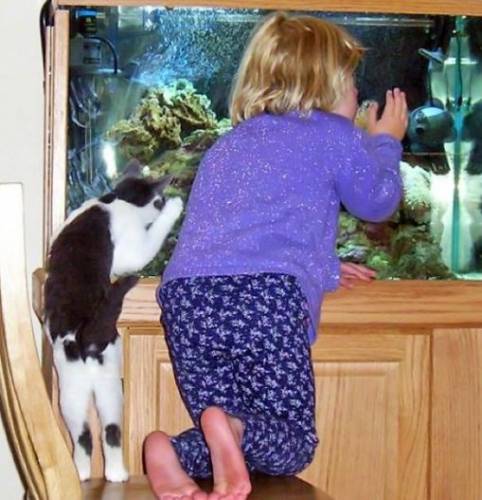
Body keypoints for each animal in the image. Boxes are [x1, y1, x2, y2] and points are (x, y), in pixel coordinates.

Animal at [44, 160, 183, 482]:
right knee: (102, 432)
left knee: (93, 433)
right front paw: (175, 206)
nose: (164, 201)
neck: (114, 199)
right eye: (158, 200)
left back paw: (95, 473)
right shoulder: (130, 249)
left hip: (82, 390)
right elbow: (138, 253)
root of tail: (85, 337)